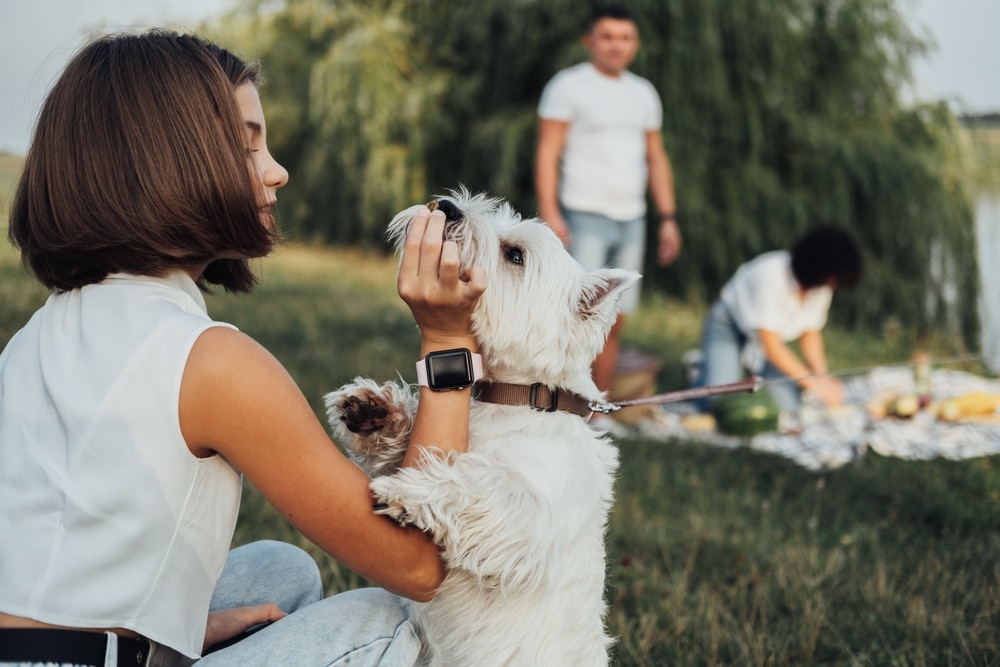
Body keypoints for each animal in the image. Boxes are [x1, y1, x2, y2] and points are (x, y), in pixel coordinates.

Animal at [324, 189, 636, 667]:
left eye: (515, 255)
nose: (447, 206)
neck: (517, 397)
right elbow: (410, 447)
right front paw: (373, 410)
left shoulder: (533, 517)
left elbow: (475, 486)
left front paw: (405, 492)